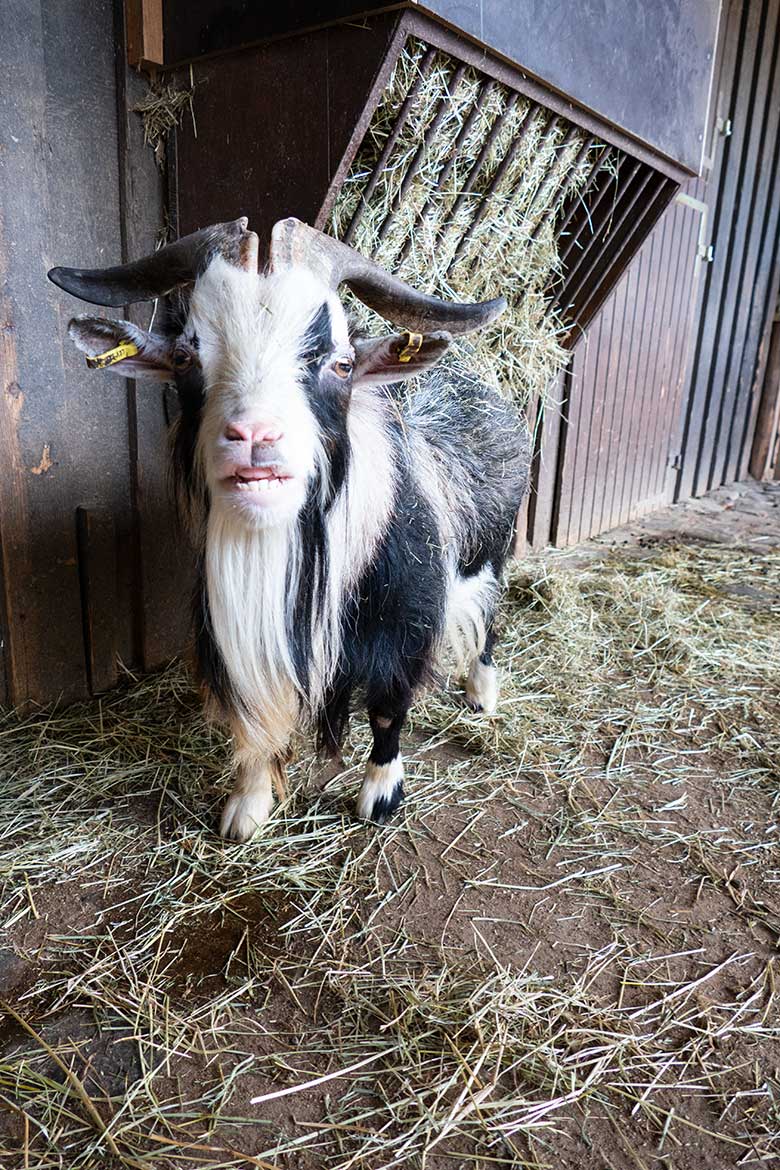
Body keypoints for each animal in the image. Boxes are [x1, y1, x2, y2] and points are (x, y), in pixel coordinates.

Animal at [50, 217, 530, 842]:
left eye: (341, 363)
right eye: (183, 357)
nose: (254, 436)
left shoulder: (406, 618)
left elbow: (387, 706)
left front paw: (380, 795)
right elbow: (252, 715)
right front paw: (248, 805)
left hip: (494, 547)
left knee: (490, 614)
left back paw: (482, 692)